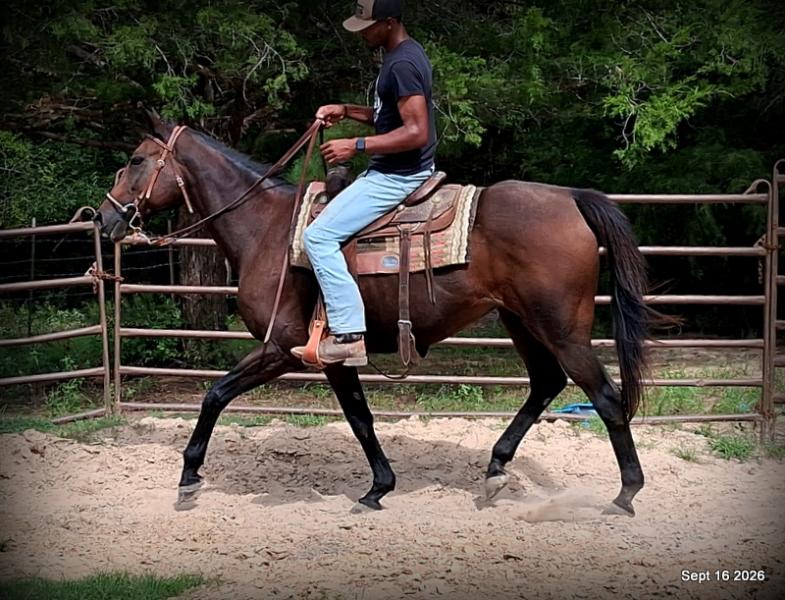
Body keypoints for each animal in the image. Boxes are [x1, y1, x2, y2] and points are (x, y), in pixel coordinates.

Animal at [95, 114, 655, 516]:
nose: (104, 219)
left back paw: (626, 494)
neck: (266, 229)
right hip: (521, 322)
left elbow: (214, 396)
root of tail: (571, 198)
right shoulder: (332, 356)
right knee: (546, 383)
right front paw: (378, 488)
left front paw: (189, 479)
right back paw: (496, 470)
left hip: (562, 329)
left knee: (605, 397)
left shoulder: (281, 348)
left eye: (137, 159)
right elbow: (360, 417)